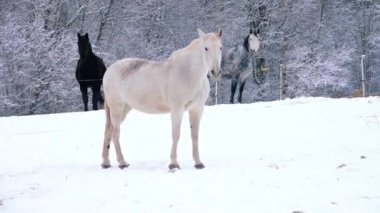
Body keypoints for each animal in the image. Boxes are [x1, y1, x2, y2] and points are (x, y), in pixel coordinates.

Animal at [102, 29, 224, 170]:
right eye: (206, 48)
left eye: (220, 47)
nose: (215, 72)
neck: (189, 73)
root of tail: (108, 71)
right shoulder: (177, 110)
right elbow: (176, 134)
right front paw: (174, 164)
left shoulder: (197, 109)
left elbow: (195, 135)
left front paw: (198, 163)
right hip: (117, 108)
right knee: (115, 132)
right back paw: (122, 162)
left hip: (125, 109)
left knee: (109, 131)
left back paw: (106, 162)